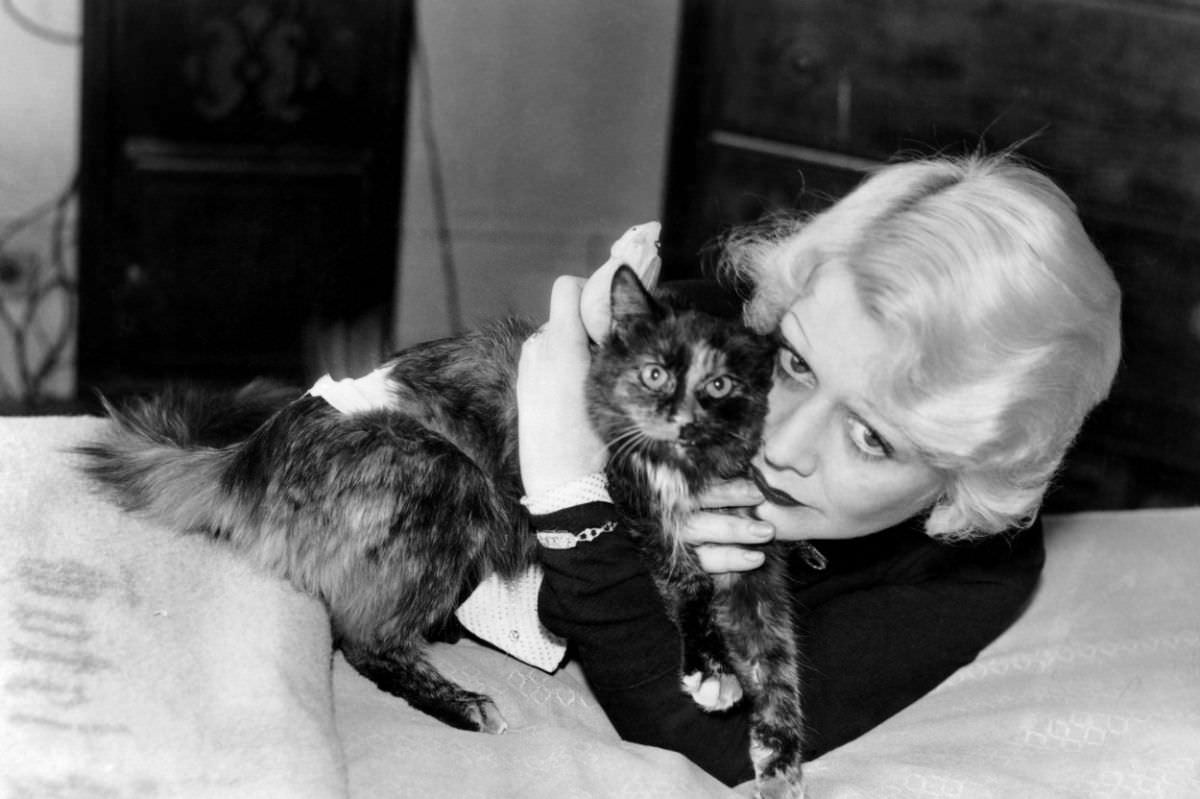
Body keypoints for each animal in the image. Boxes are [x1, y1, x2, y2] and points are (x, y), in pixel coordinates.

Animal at [75, 263, 806, 791]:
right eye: (653, 373)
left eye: (720, 384)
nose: (677, 417)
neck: (699, 468)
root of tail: (244, 456)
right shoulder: (642, 518)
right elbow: (688, 589)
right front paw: (712, 672)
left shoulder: (758, 565)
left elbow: (779, 658)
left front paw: (778, 754)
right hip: (448, 475)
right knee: (360, 639)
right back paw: (466, 703)